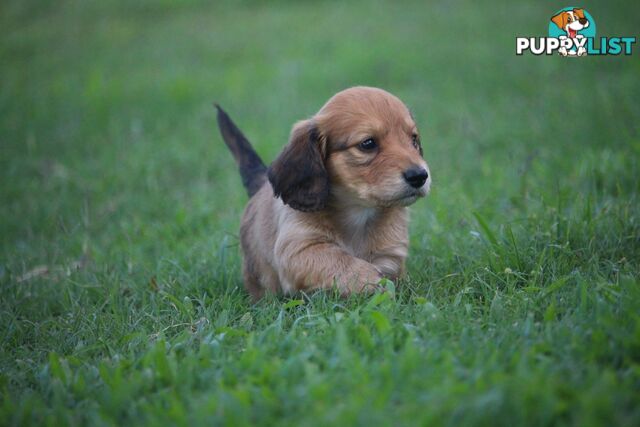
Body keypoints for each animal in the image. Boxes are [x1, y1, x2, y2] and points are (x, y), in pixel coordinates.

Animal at [215, 86, 430, 300]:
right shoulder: (298, 248)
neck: (358, 213)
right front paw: (369, 279)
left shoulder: (391, 251)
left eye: (413, 139)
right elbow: (337, 259)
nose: (420, 176)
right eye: (368, 143)